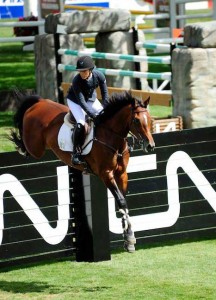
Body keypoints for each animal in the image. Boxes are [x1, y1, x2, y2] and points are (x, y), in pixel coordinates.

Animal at [10, 91, 155, 253]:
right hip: (35, 148)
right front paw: (129, 238)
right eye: (136, 120)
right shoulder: (106, 174)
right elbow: (121, 201)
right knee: (25, 145)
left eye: (149, 119)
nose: (150, 146)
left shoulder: (122, 174)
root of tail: (39, 103)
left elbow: (123, 202)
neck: (111, 136)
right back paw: (18, 142)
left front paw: (128, 238)